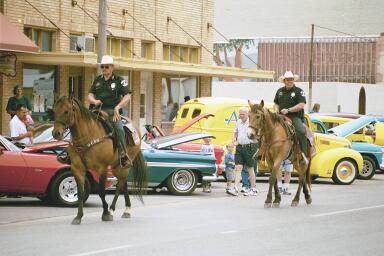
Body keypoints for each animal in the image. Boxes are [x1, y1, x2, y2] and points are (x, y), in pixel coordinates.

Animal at [51, 96, 146, 224]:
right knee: (123, 183)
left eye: (66, 111)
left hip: (123, 165)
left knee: (120, 185)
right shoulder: (77, 169)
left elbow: (101, 192)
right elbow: (80, 193)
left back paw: (112, 210)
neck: (86, 137)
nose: (56, 133)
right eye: (54, 111)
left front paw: (105, 213)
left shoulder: (102, 169)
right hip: (116, 166)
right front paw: (78, 216)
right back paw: (126, 209)